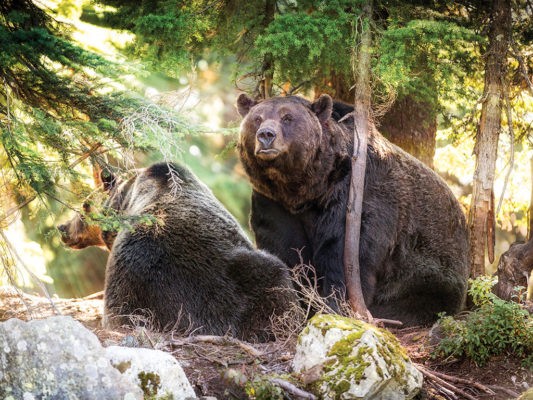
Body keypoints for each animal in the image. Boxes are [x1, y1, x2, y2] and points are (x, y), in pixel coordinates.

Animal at [235, 95, 468, 326]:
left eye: (287, 117)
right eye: (257, 118)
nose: (266, 135)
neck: (306, 189)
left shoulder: (354, 196)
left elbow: (343, 255)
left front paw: (335, 305)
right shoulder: (274, 203)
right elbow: (284, 249)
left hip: (429, 263)